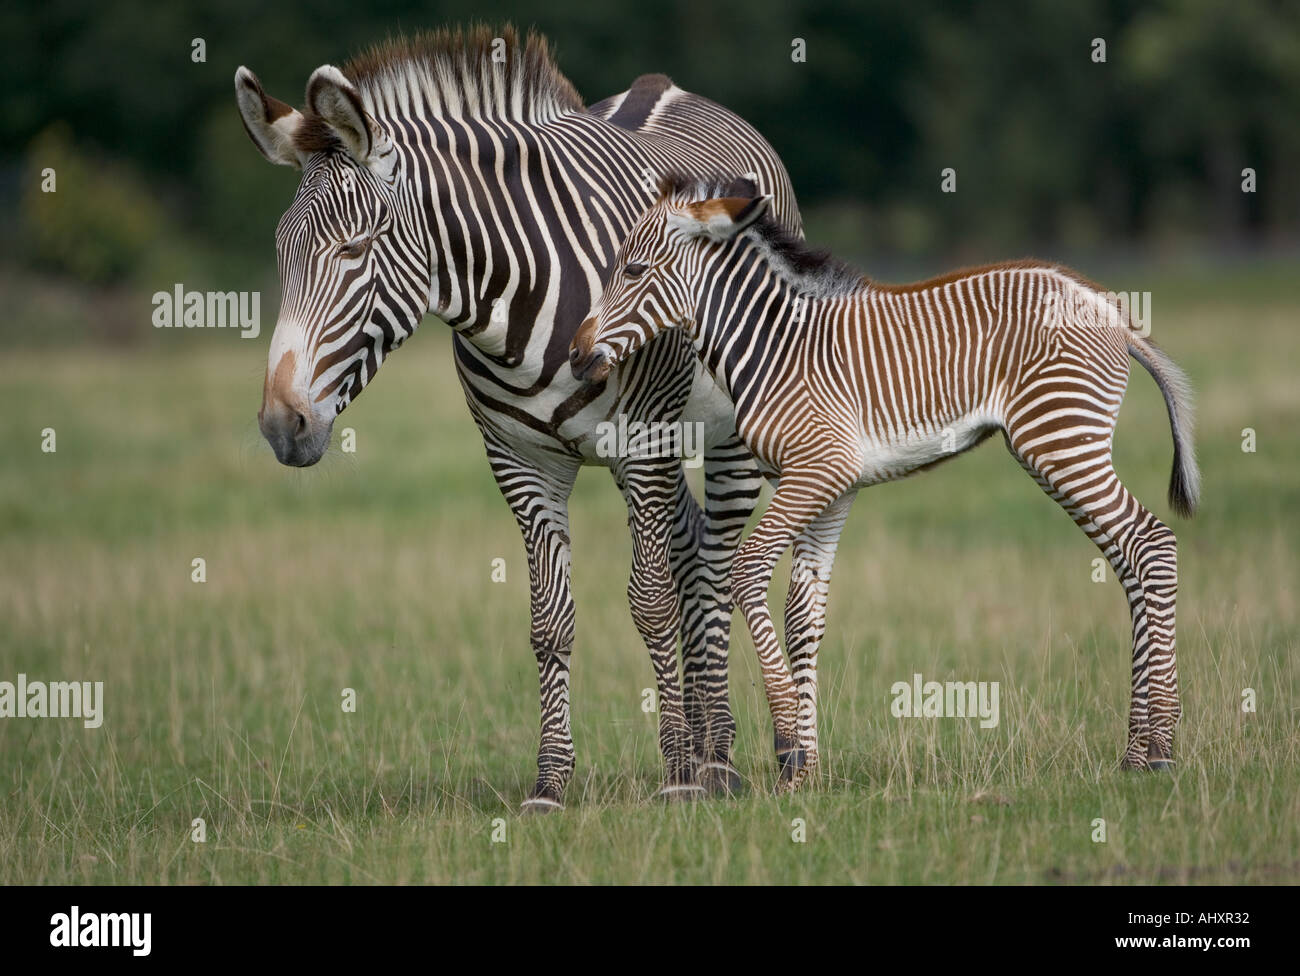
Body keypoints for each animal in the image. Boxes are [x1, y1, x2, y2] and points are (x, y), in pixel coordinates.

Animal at [236, 28, 800, 810]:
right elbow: (550, 622)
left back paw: (717, 760)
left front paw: (676, 776)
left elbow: (650, 602)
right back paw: (713, 745)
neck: (518, 298)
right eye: (281, 250)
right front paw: (551, 782)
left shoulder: (644, 445)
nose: (279, 424)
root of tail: (669, 88)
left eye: (353, 250)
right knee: (691, 556)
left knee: (714, 572)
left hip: (727, 437)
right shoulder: (520, 460)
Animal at [574, 174, 1201, 784]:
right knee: (1131, 559)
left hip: (1061, 439)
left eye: (632, 270)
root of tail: (1113, 311)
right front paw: (805, 772)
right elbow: (803, 613)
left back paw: (1158, 749)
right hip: (1063, 446)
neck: (771, 348)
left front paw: (787, 738)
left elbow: (747, 571)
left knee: (1153, 543)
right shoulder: (828, 487)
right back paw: (1138, 751)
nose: (578, 359)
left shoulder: (818, 470)